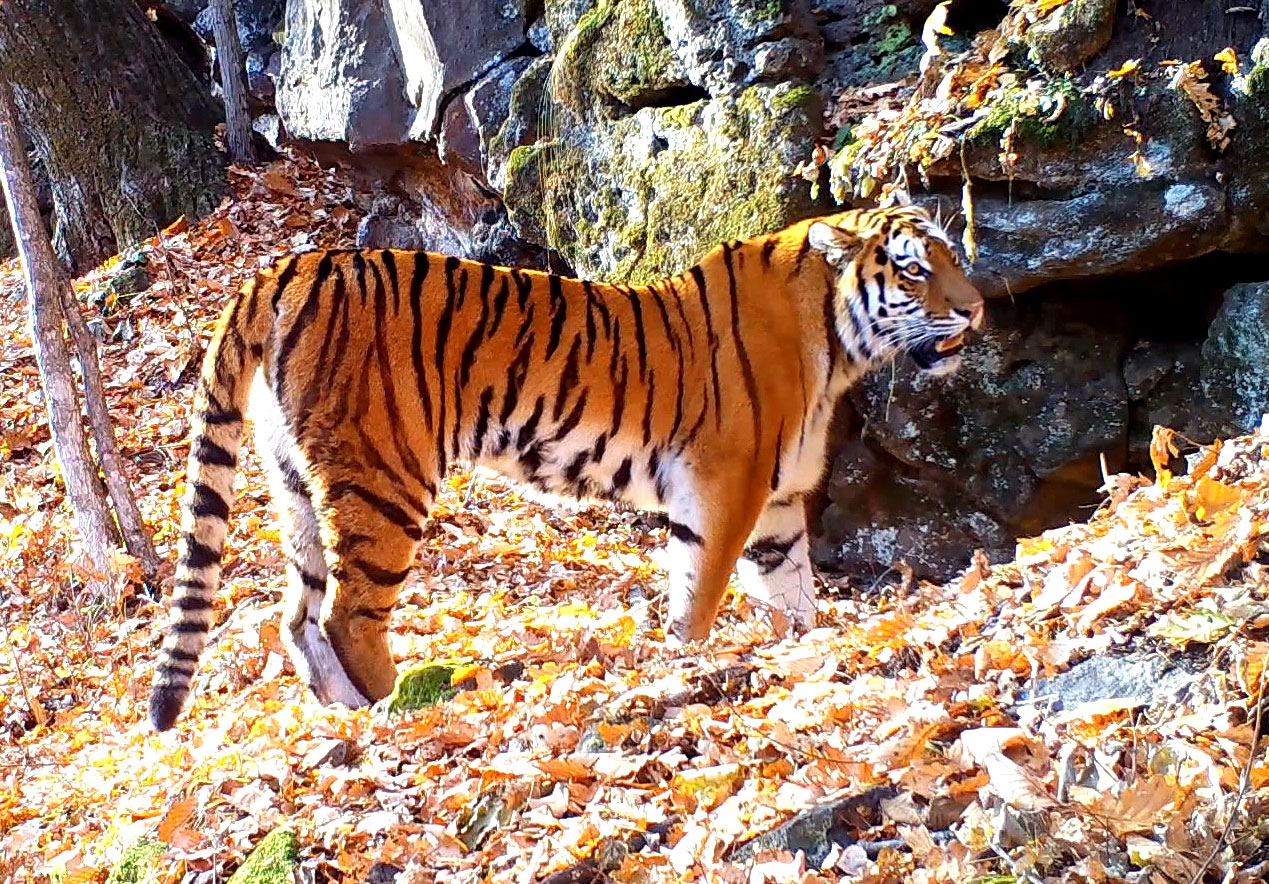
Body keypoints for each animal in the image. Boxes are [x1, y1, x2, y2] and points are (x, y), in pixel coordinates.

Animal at [145, 202, 979, 725]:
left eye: (949, 256)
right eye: (911, 269)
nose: (974, 308)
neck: (834, 343)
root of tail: (280, 270)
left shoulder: (776, 504)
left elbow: (792, 597)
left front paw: (800, 651)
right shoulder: (723, 488)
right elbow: (697, 599)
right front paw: (687, 663)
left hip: (295, 483)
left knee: (294, 614)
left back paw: (344, 713)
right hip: (383, 475)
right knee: (346, 612)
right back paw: (404, 703)